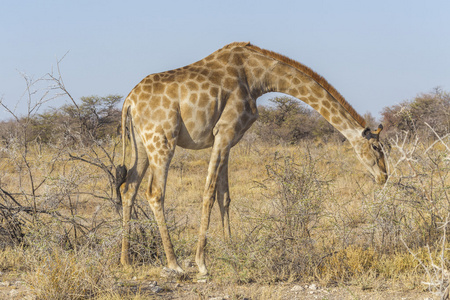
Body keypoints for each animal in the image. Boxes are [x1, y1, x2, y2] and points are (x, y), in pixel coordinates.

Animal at [116, 41, 386, 276]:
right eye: (376, 147)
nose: (384, 176)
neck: (258, 78)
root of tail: (129, 101)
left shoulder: (228, 139)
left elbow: (224, 197)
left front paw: (231, 251)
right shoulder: (224, 131)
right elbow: (209, 193)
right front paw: (202, 263)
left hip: (141, 142)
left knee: (128, 187)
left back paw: (126, 261)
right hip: (162, 140)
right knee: (154, 192)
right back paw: (174, 264)